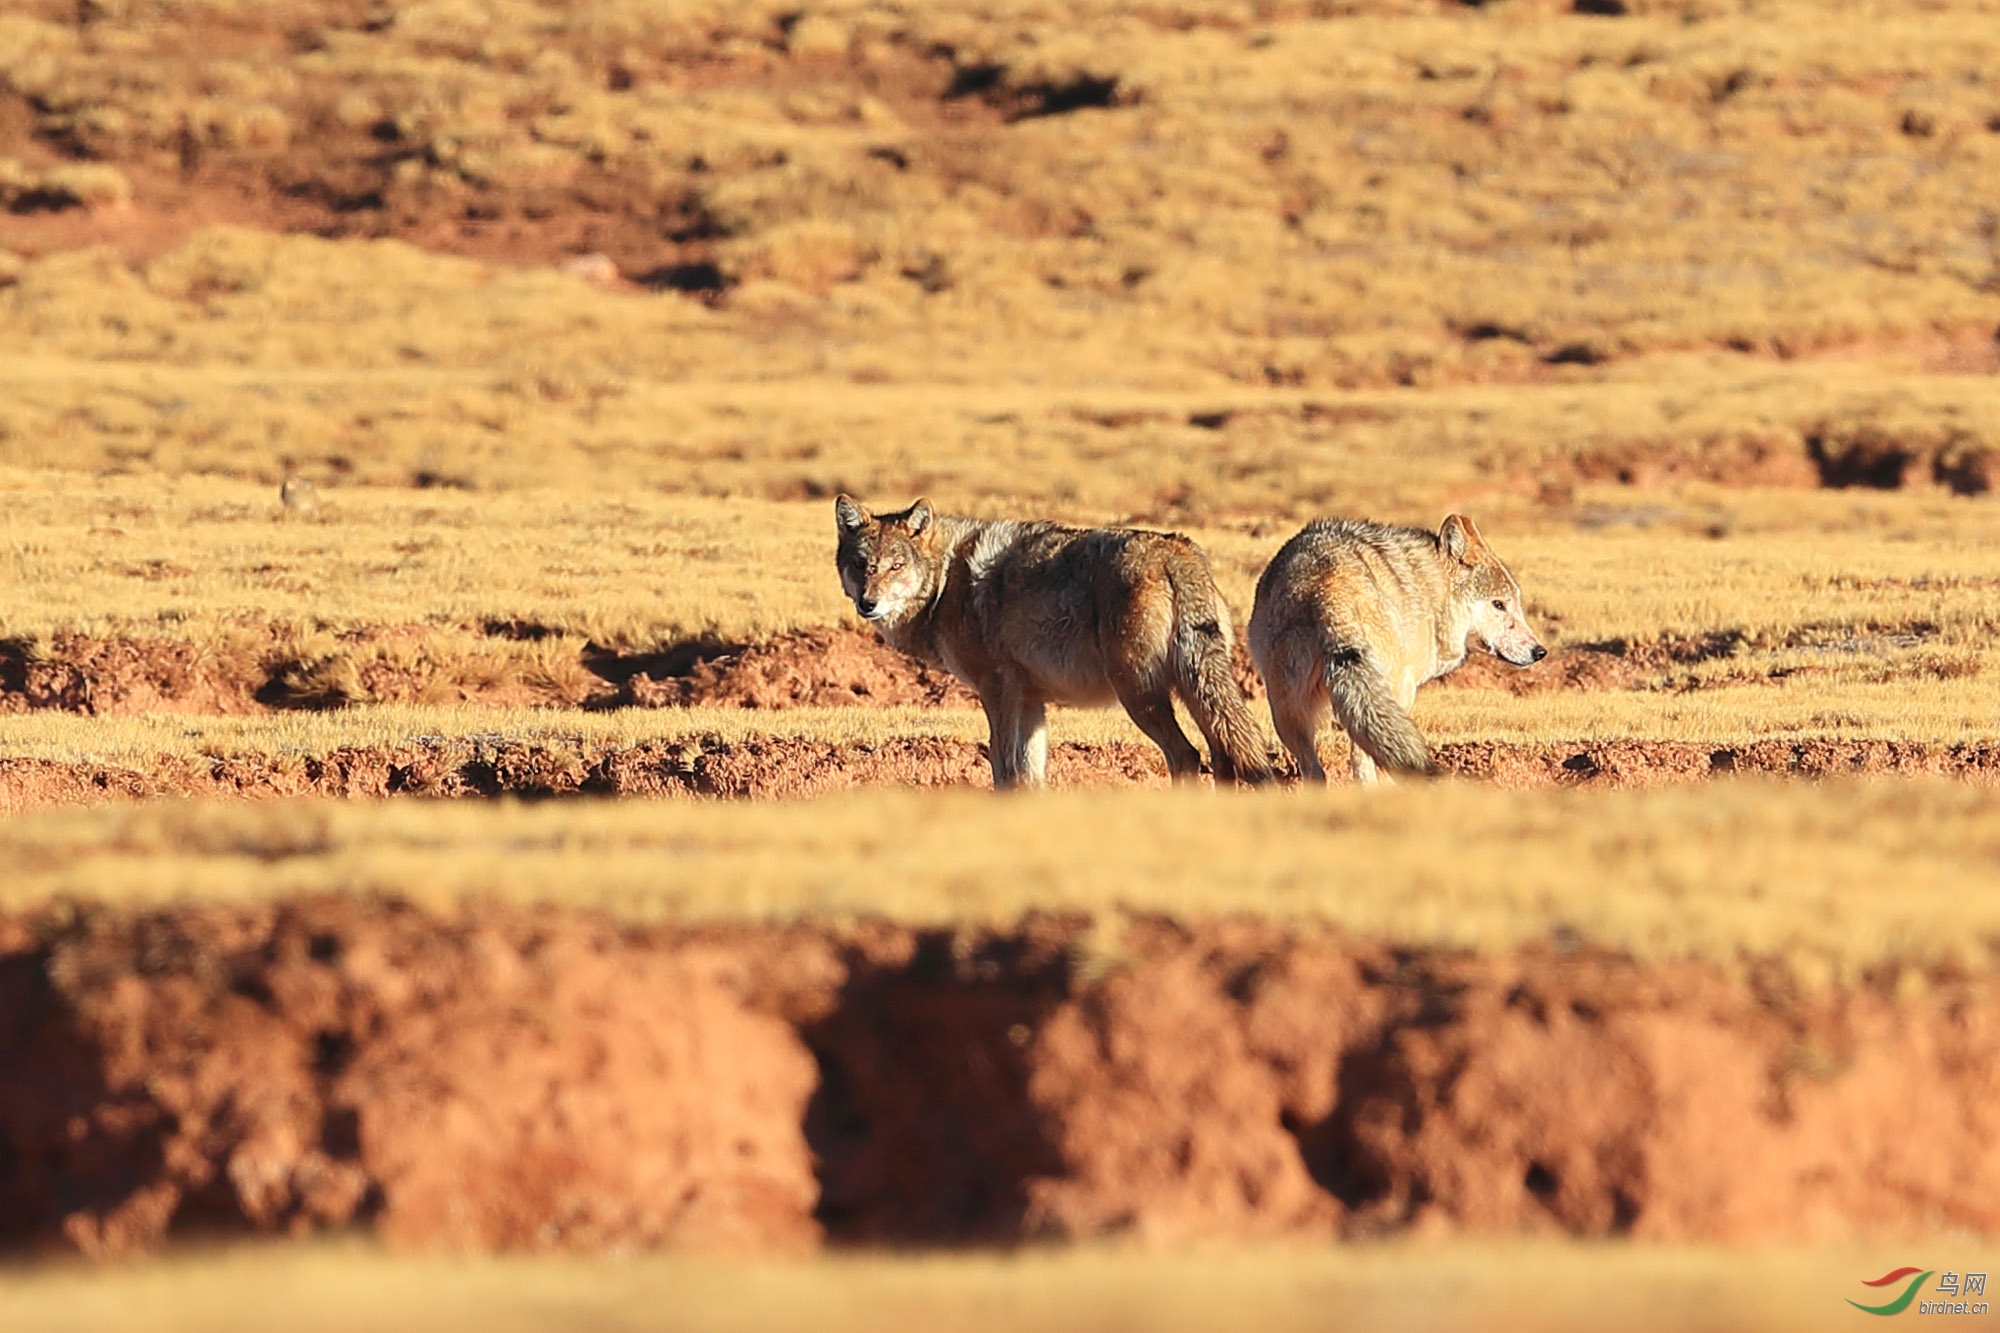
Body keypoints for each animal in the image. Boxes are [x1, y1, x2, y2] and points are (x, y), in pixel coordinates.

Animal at [832, 498, 1272, 788]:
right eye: (860, 564)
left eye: (895, 566)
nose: (868, 603)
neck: (946, 580)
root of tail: (1176, 551)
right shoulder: (1031, 700)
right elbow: (1030, 774)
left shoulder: (997, 689)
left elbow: (1004, 768)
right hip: (1190, 690)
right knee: (1222, 757)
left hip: (1138, 694)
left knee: (1187, 755)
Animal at [1248, 508, 1544, 780]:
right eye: (1499, 604)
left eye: (1514, 603)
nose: (1540, 652)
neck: (1432, 592)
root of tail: (1327, 589)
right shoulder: (1406, 689)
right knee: (1365, 759)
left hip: (1287, 712)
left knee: (1315, 769)